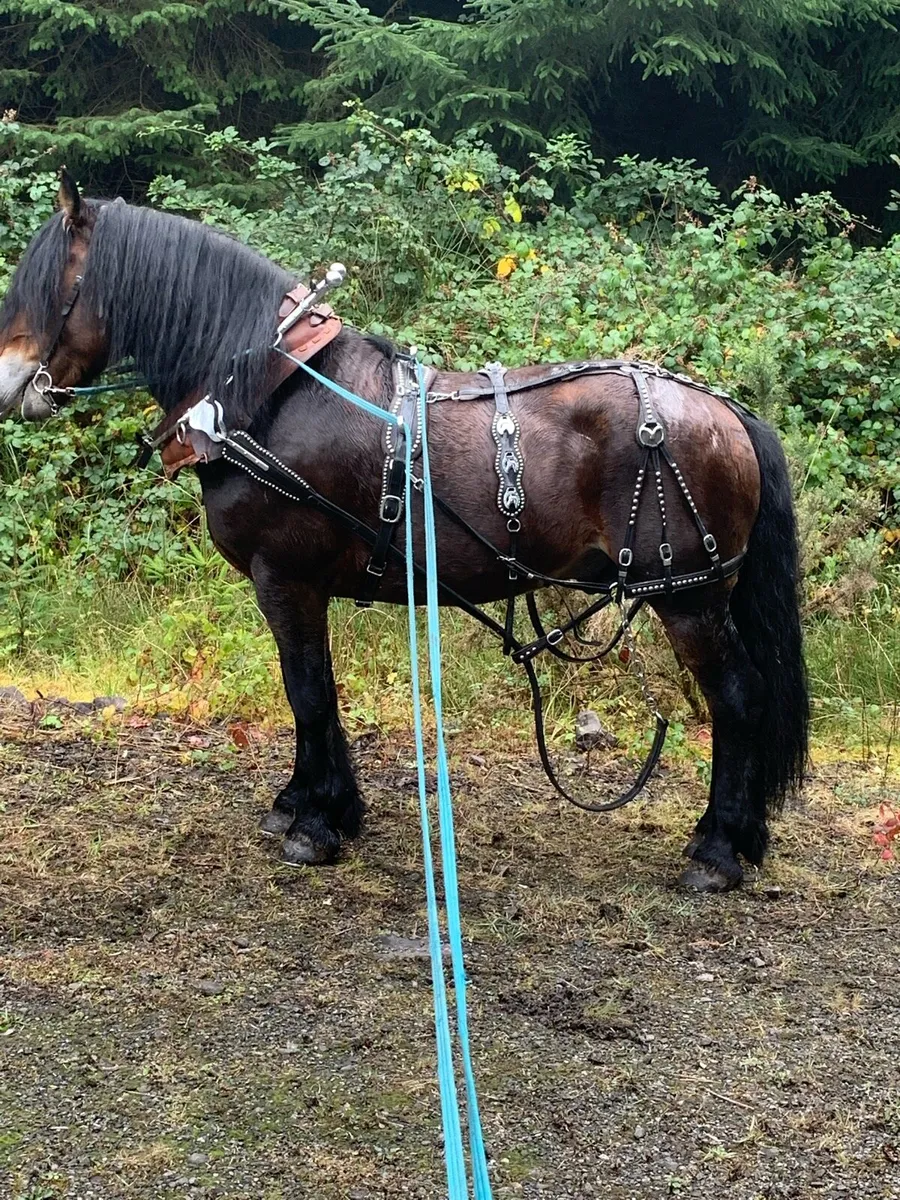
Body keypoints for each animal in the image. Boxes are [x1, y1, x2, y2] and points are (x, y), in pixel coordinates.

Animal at [0, 174, 808, 892]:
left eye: (48, 285)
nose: (8, 385)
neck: (271, 390)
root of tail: (728, 411)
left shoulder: (285, 577)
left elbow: (307, 691)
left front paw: (317, 825)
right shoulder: (301, 588)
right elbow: (315, 691)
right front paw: (314, 802)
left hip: (689, 597)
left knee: (738, 698)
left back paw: (717, 850)